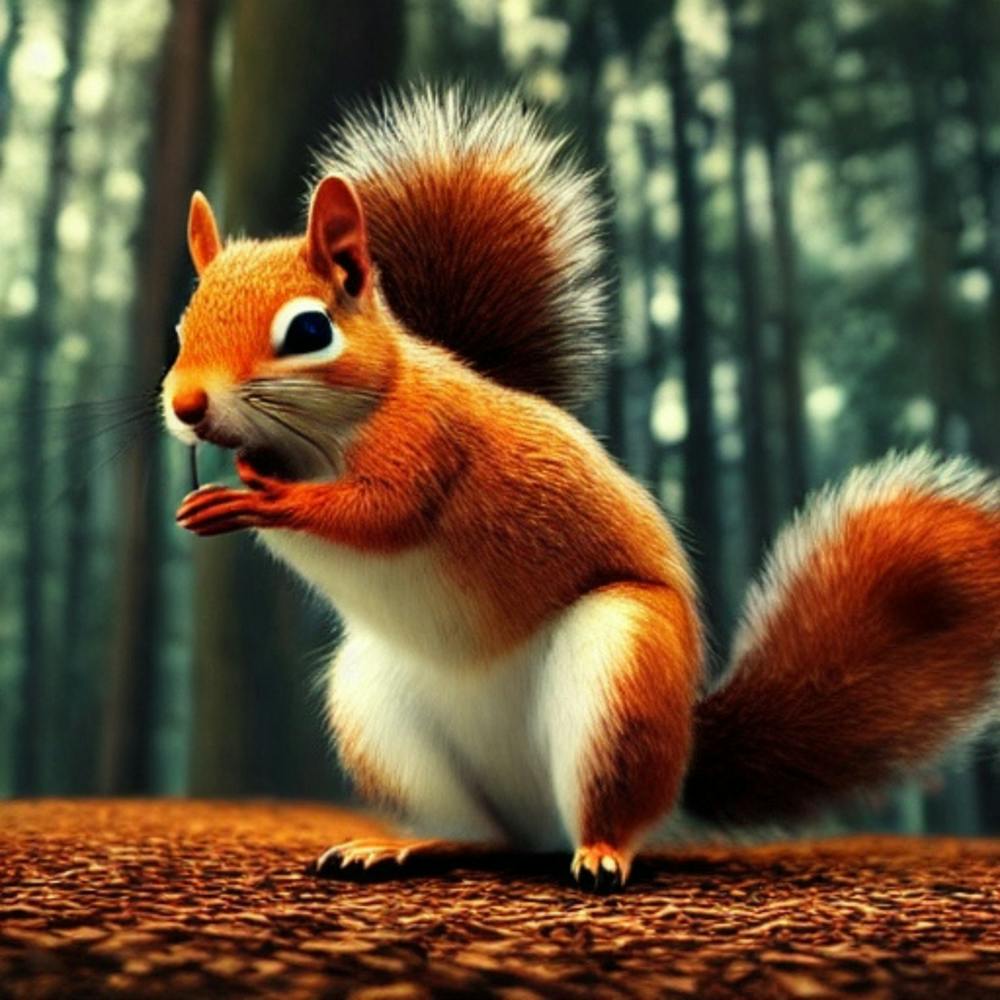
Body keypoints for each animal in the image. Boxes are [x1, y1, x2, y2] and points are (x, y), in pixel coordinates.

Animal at [163, 87, 1000, 892]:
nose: (187, 406)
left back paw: (602, 854)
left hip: (621, 670)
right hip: (376, 709)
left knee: (607, 807)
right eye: (180, 328)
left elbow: (381, 512)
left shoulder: (433, 443)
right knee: (483, 834)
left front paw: (261, 500)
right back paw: (405, 846)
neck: (333, 428)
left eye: (309, 332)